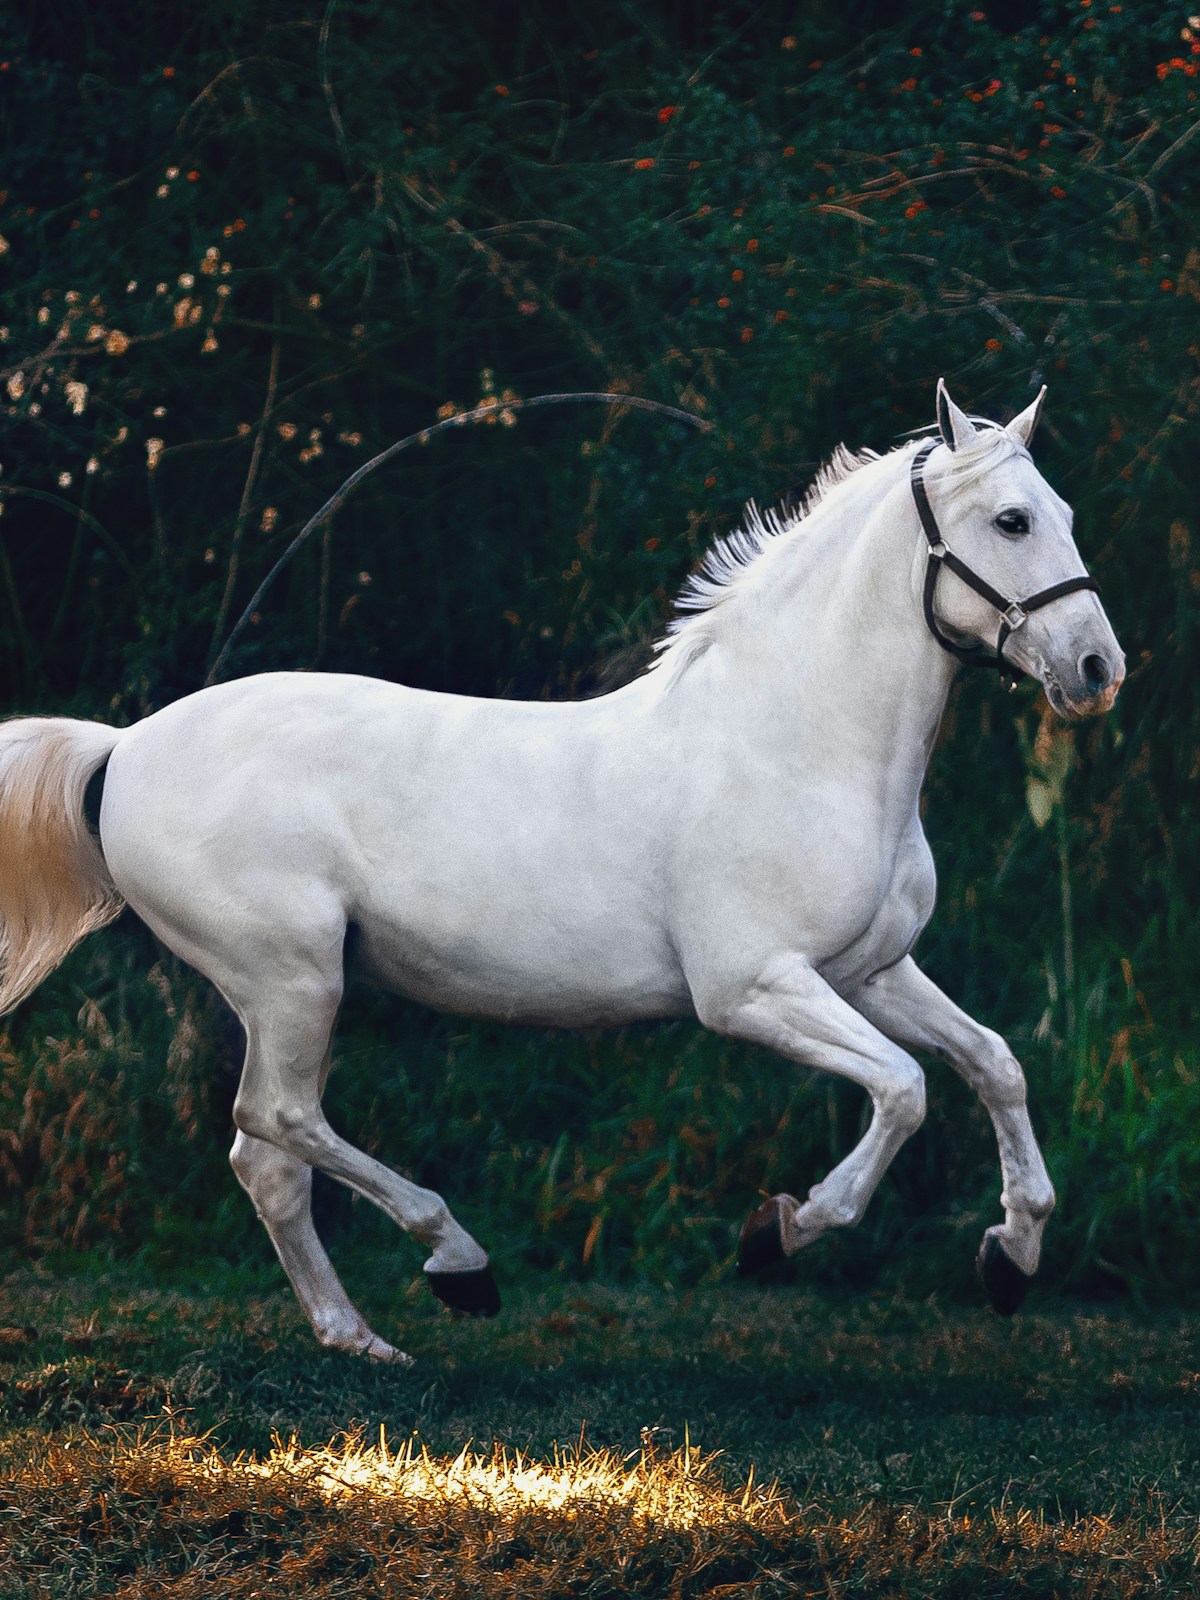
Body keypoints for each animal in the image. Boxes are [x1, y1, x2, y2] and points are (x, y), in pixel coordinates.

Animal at [0, 381, 1123, 1362]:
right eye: (1014, 521)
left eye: (1068, 513)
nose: (1098, 670)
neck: (794, 742)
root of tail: (125, 748)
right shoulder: (753, 989)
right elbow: (904, 1090)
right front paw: (781, 1229)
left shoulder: (870, 972)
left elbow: (995, 1063)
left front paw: (1012, 1257)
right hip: (291, 978)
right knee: (276, 1123)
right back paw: (458, 1263)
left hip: (290, 990)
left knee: (266, 1161)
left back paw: (359, 1336)